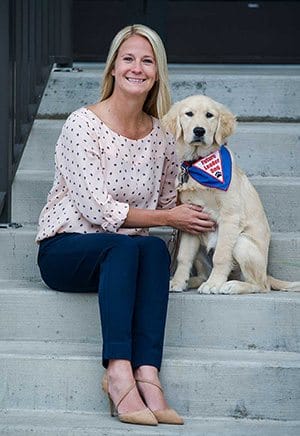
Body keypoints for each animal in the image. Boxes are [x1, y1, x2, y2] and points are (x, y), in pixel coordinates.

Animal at [163, 94, 298, 292]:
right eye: (189, 114)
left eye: (209, 115)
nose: (199, 131)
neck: (199, 162)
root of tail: (266, 273)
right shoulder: (190, 219)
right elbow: (183, 257)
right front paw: (178, 282)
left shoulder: (230, 216)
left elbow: (221, 255)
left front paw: (214, 284)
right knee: (202, 272)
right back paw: (196, 281)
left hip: (242, 243)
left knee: (260, 285)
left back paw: (231, 285)